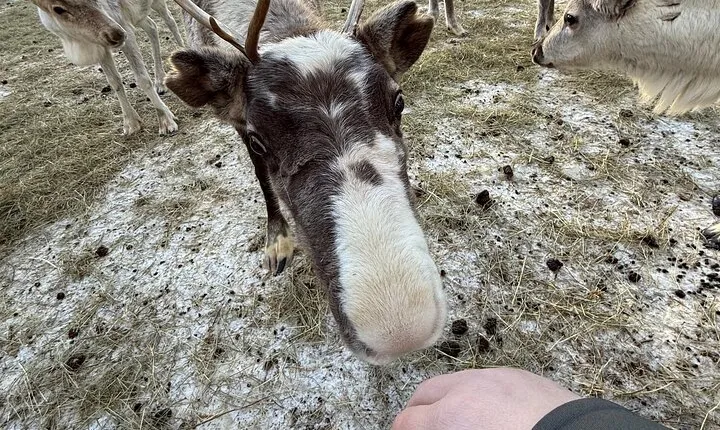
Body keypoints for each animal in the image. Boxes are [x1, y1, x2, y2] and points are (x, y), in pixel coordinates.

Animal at [31, 0, 183, 135]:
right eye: (58, 9)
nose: (117, 34)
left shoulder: (124, 26)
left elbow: (142, 78)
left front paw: (166, 121)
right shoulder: (100, 44)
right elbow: (114, 82)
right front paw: (131, 123)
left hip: (156, 5)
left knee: (170, 20)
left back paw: (182, 52)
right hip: (139, 15)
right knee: (152, 27)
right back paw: (160, 81)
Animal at [165, 0, 447, 364]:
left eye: (398, 102)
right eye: (259, 140)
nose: (400, 330)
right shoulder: (238, 125)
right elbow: (262, 178)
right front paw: (277, 240)